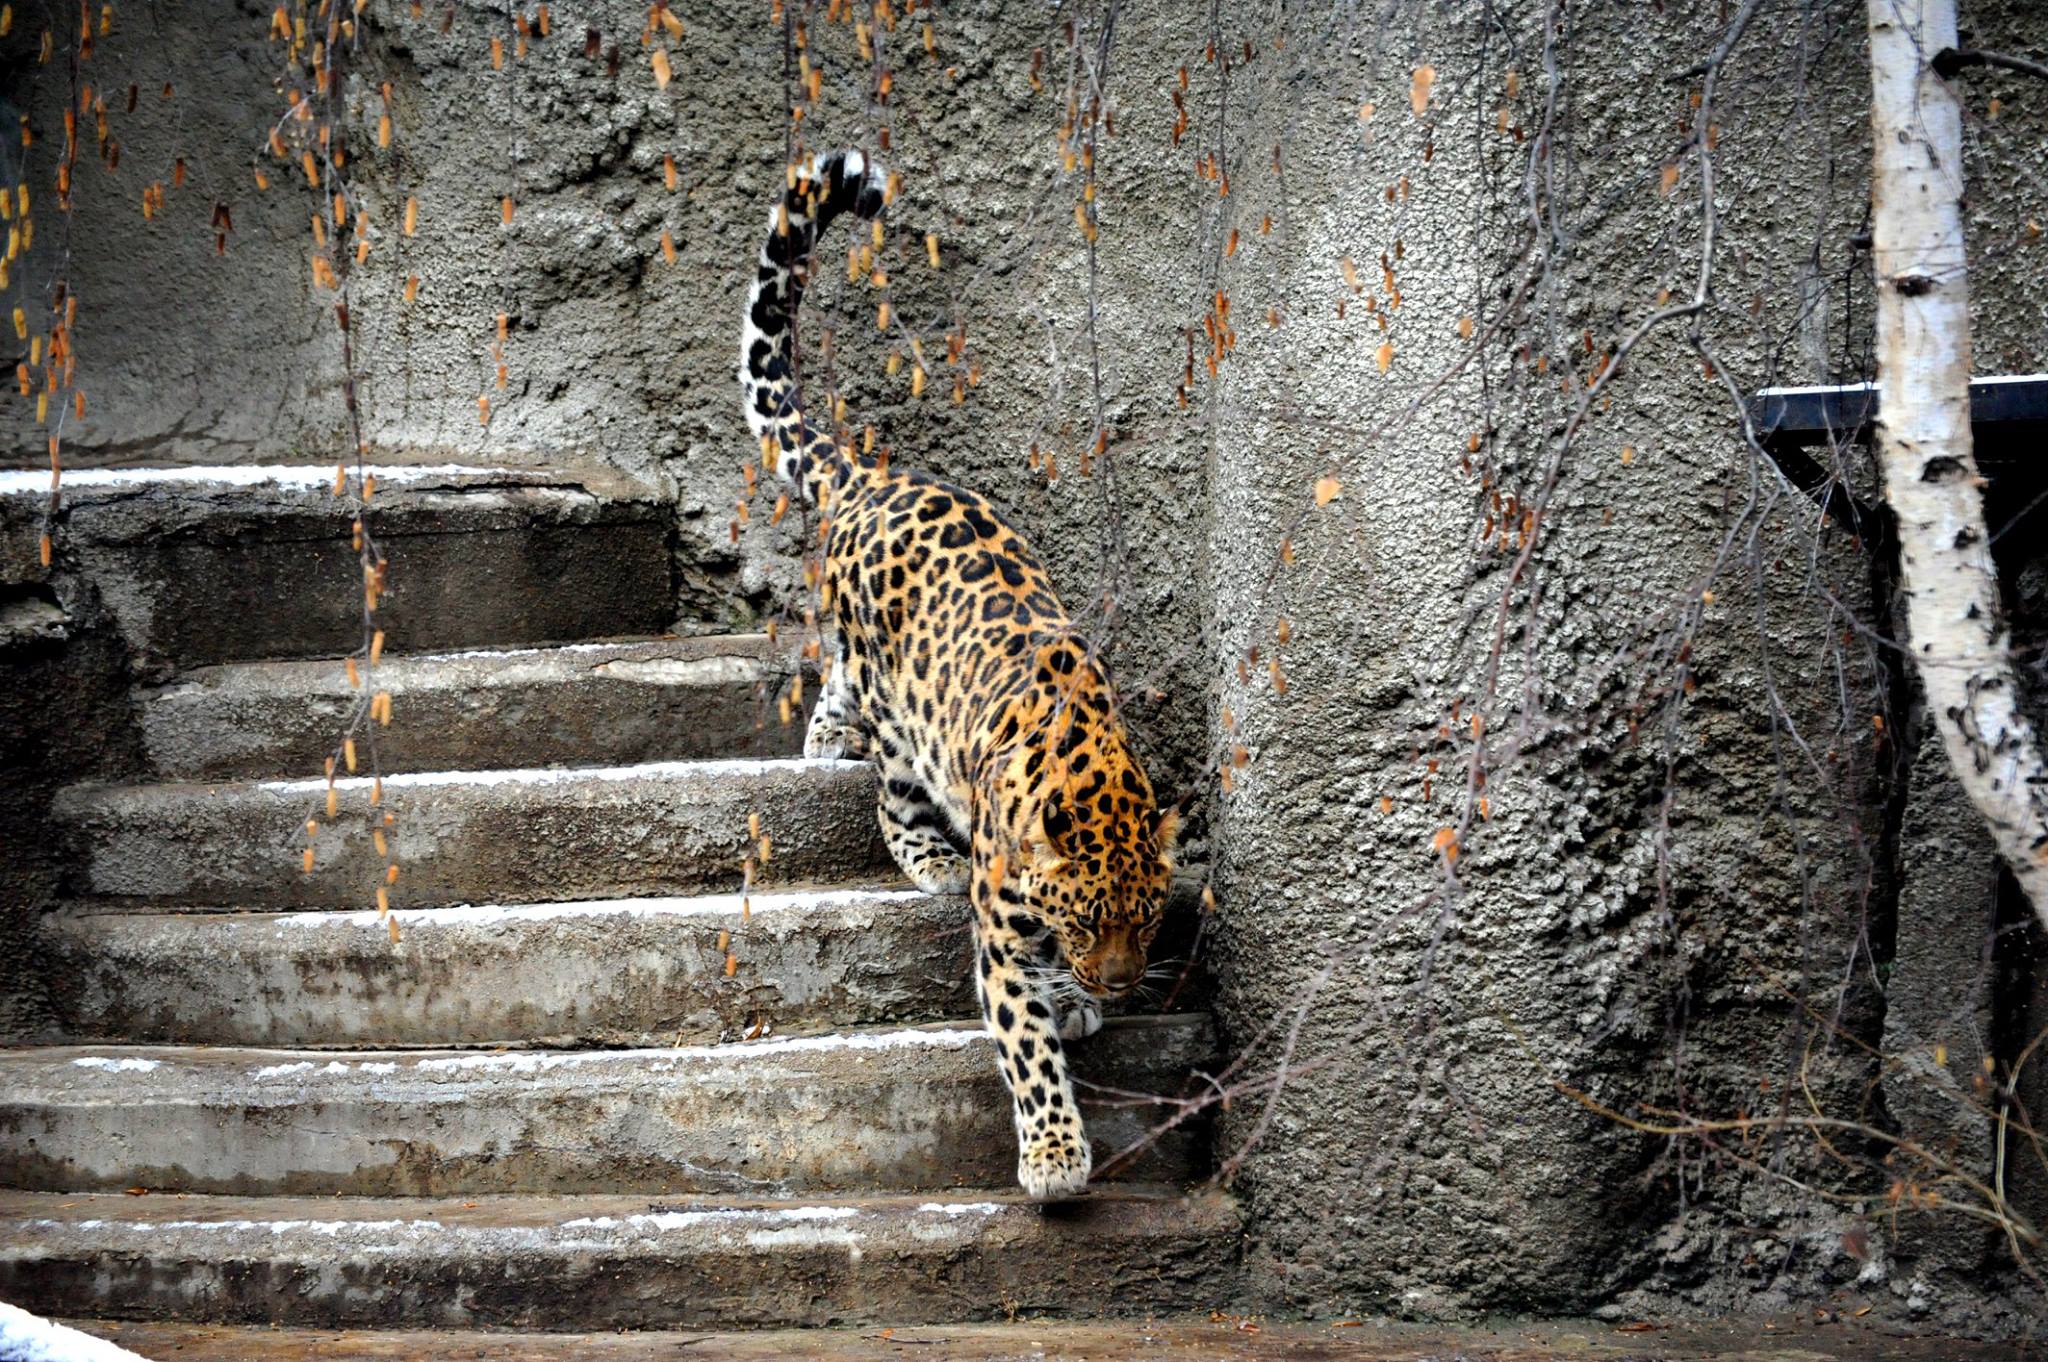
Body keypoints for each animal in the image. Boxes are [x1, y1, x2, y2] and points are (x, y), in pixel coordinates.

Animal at [745, 143, 1179, 1196]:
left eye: (1149, 917)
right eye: (1091, 916)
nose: (1118, 981)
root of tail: (878, 476)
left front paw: (1077, 1001)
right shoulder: (999, 928)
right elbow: (1024, 1041)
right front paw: (1056, 1153)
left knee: (837, 686)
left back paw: (823, 736)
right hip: (902, 719)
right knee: (887, 787)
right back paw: (916, 845)